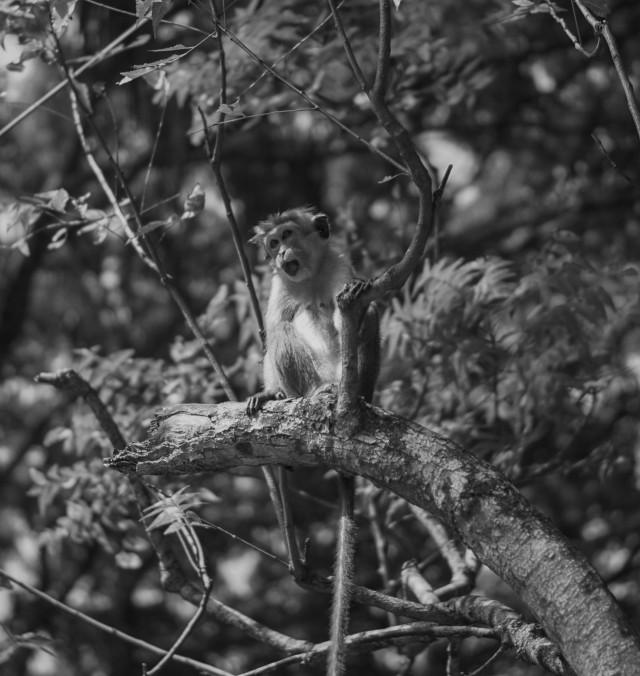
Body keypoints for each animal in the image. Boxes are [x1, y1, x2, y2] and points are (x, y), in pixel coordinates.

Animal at [246, 207, 380, 676]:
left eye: (288, 234)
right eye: (272, 243)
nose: (280, 252)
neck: (307, 277)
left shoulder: (339, 266)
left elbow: (352, 309)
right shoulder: (278, 288)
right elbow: (273, 332)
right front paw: (268, 393)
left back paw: (343, 392)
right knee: (287, 327)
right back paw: (299, 394)